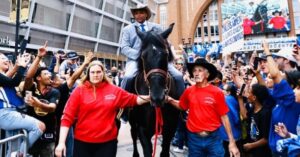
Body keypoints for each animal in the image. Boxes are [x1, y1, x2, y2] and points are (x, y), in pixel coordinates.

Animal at [127, 23, 180, 157]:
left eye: (166, 54)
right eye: (143, 56)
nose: (157, 97)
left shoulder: (170, 128)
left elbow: (164, 151)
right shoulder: (143, 130)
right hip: (132, 122)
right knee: (133, 135)